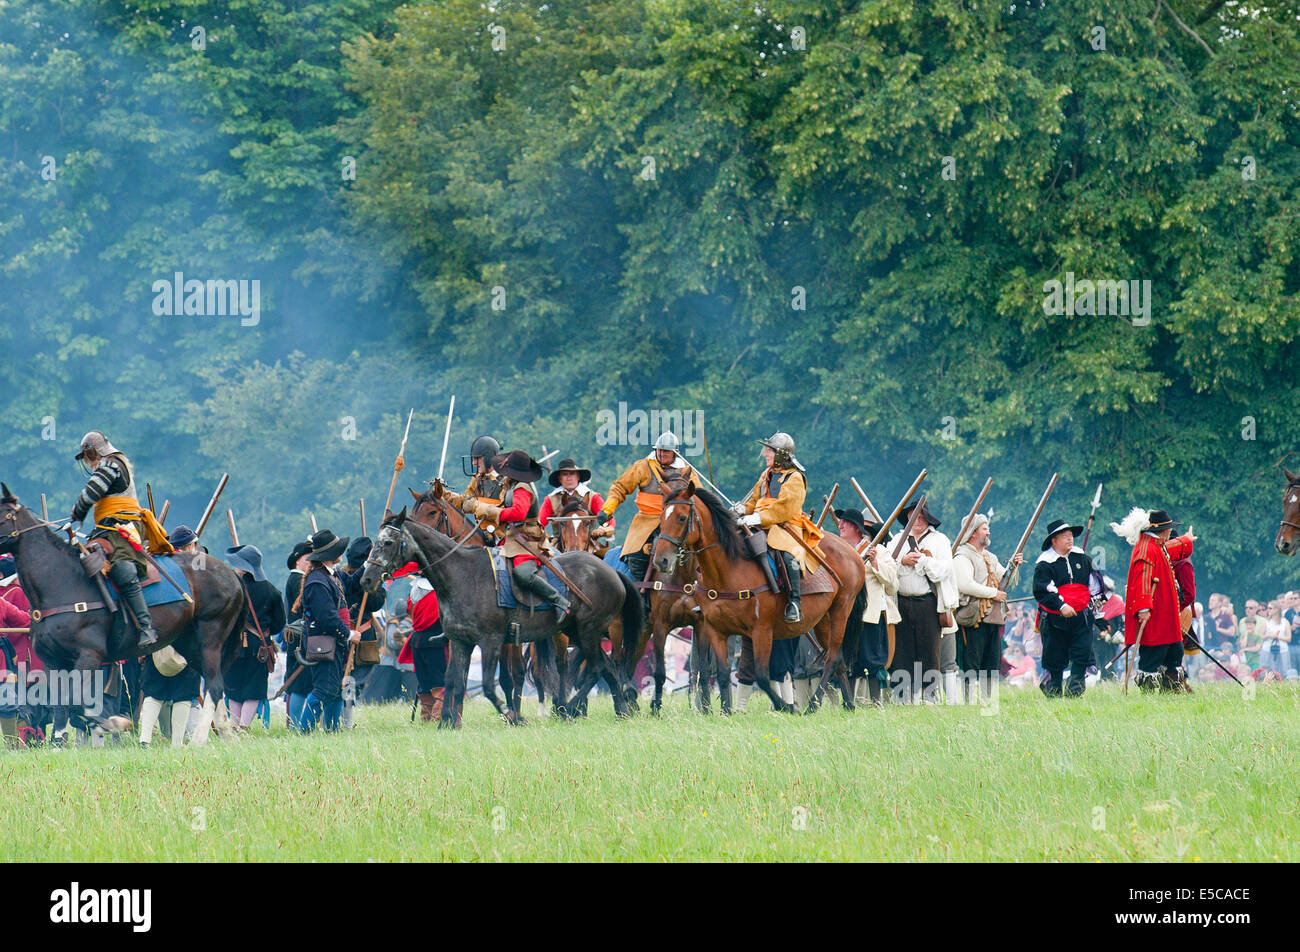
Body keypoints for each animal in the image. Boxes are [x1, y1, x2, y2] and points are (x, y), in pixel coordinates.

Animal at [0, 483, 245, 738]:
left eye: (1, 516)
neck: (61, 584)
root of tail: (229, 573)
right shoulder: (53, 661)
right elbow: (62, 707)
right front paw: (62, 739)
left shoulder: (89, 656)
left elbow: (77, 704)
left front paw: (113, 723)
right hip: (188, 644)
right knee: (213, 686)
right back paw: (224, 734)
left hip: (210, 639)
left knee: (214, 686)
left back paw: (199, 739)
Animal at [358, 509, 642, 723]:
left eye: (388, 542)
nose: (366, 579)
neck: (461, 575)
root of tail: (612, 571)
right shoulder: (460, 642)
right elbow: (453, 681)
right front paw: (447, 722)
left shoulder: (491, 641)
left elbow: (486, 684)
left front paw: (511, 714)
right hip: (577, 632)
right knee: (606, 667)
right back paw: (619, 711)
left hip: (589, 631)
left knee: (597, 668)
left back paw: (572, 708)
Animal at [650, 483, 863, 712]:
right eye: (661, 517)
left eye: (681, 518)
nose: (661, 560)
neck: (729, 570)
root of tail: (851, 552)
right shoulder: (715, 630)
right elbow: (723, 674)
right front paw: (726, 712)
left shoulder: (762, 631)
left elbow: (761, 676)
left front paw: (786, 707)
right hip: (823, 619)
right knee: (838, 658)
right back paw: (848, 704)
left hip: (841, 610)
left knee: (831, 658)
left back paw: (813, 705)